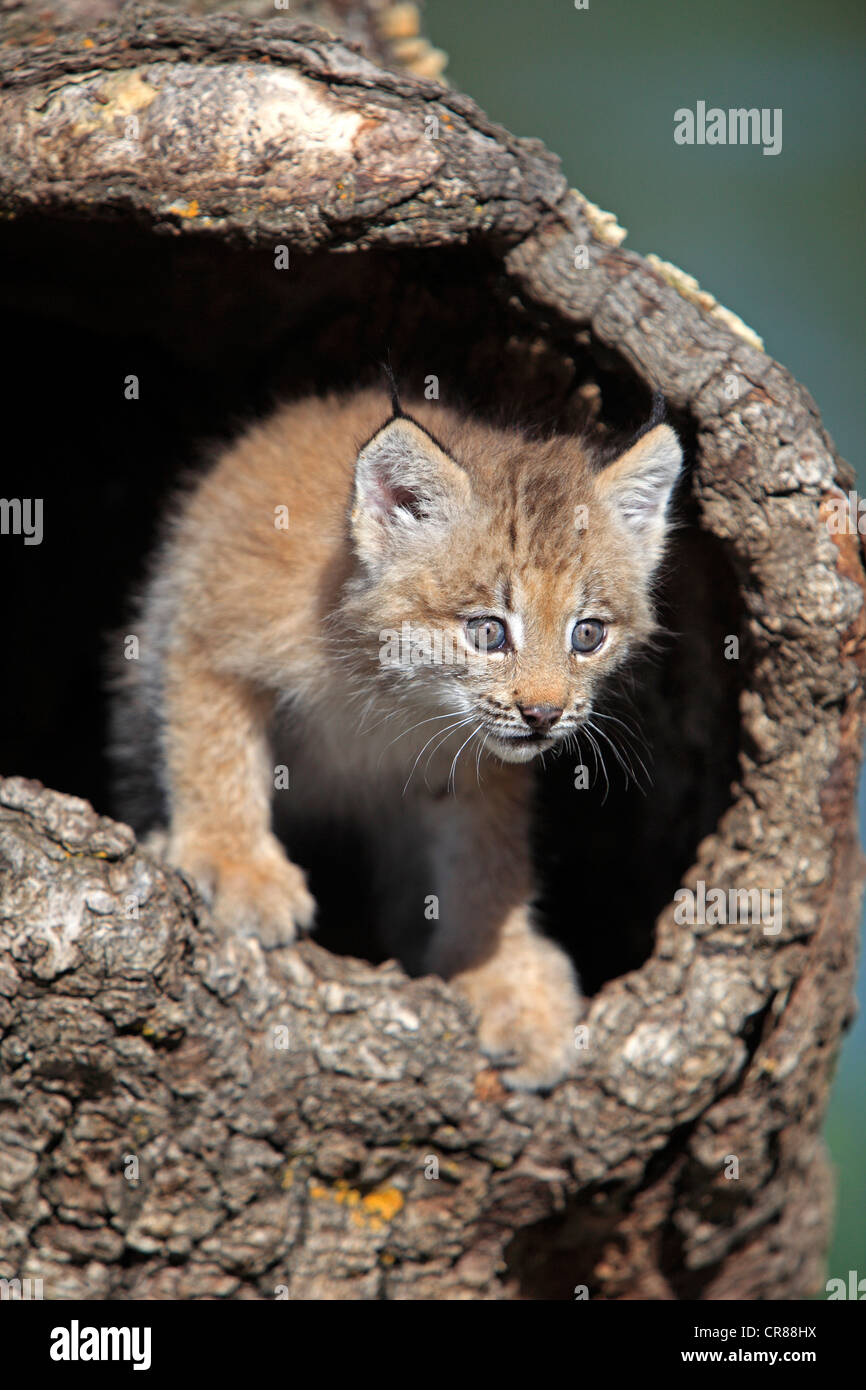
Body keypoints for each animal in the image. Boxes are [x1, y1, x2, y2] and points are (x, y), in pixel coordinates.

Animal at [111, 386, 683, 1089]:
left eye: (588, 634)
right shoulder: (209, 637)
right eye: (488, 632)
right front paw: (234, 866)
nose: (544, 714)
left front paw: (503, 974)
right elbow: (214, 751)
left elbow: (489, 858)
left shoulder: (481, 762)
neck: (390, 687)